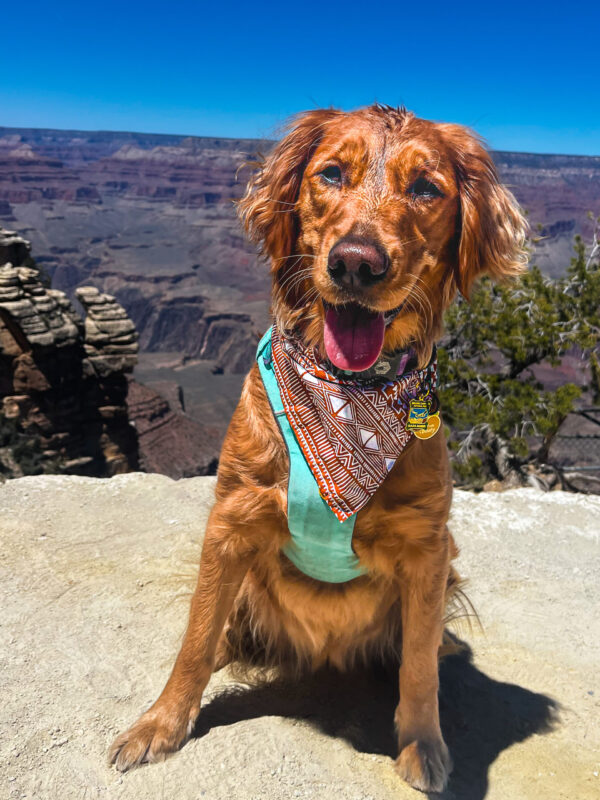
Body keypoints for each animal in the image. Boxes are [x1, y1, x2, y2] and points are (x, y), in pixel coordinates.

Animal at [108, 103, 524, 792]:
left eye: (426, 188)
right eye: (330, 174)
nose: (357, 263)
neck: (346, 399)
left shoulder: (428, 544)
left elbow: (417, 666)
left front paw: (422, 744)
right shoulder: (231, 517)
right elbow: (196, 636)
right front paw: (162, 723)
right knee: (222, 621)